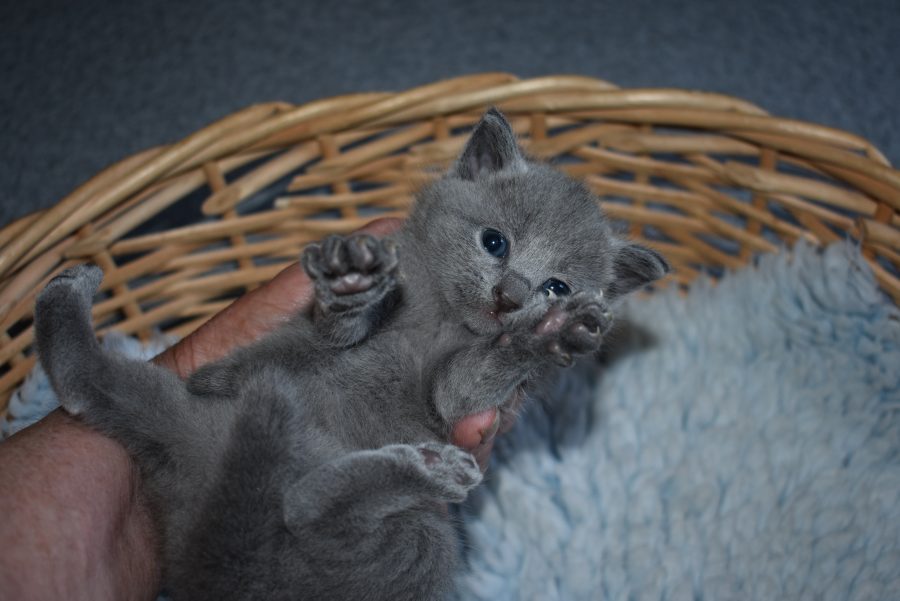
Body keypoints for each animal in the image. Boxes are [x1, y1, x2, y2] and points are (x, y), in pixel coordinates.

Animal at [33, 109, 668, 600]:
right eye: (495, 242)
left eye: (556, 287)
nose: (509, 297)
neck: (439, 316)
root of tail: (219, 569)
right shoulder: (322, 330)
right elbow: (339, 329)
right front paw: (354, 286)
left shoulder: (461, 395)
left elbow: (466, 384)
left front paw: (546, 333)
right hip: (190, 416)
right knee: (88, 383)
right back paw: (70, 288)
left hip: (419, 539)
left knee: (304, 510)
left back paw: (426, 471)